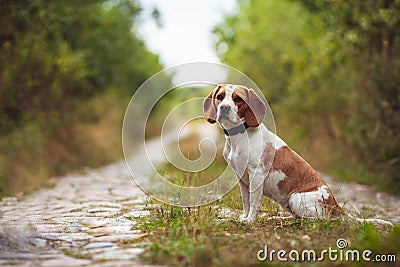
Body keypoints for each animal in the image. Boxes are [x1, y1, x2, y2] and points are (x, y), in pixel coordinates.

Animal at [205, 84, 392, 226]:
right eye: (220, 97)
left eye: (238, 99)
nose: (224, 108)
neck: (239, 136)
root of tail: (335, 205)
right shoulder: (242, 179)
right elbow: (246, 201)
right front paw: (244, 217)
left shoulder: (256, 175)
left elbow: (254, 202)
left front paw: (250, 220)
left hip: (295, 199)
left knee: (318, 220)